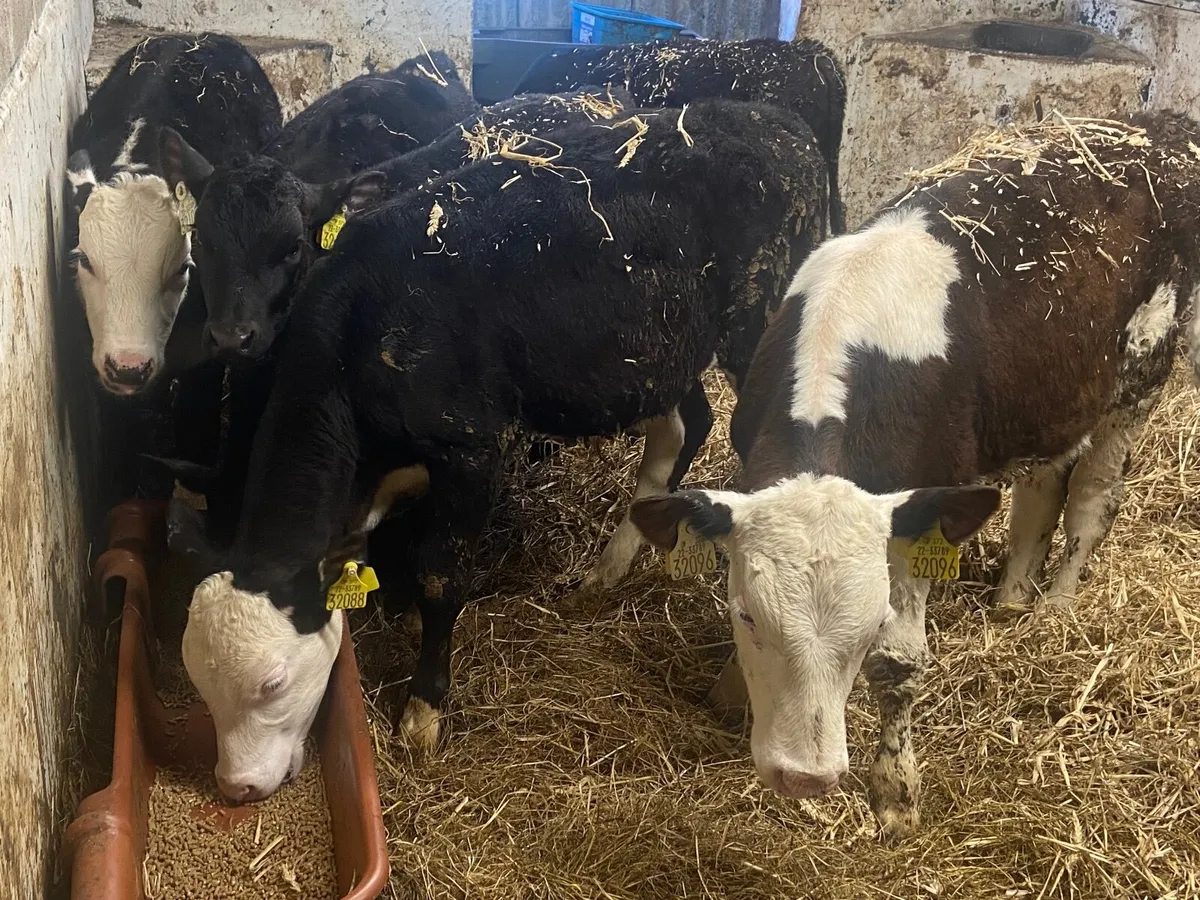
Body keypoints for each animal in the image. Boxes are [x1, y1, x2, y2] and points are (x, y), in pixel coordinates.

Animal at [166, 98, 829, 802]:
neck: (362, 330)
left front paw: (424, 709)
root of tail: (775, 121)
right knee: (681, 428)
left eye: (274, 683)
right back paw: (608, 569)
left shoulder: (469, 446)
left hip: (758, 330)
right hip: (655, 354)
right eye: (198, 680)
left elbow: (439, 574)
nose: (236, 787)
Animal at [628, 111, 1200, 839]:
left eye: (872, 622)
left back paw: (1055, 609)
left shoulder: (922, 515)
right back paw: (1012, 598)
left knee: (1093, 502)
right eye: (746, 615)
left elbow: (899, 663)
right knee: (1042, 487)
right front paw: (732, 692)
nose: (804, 776)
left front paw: (894, 795)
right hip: (1050, 397)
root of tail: (1153, 125)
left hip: (1138, 381)